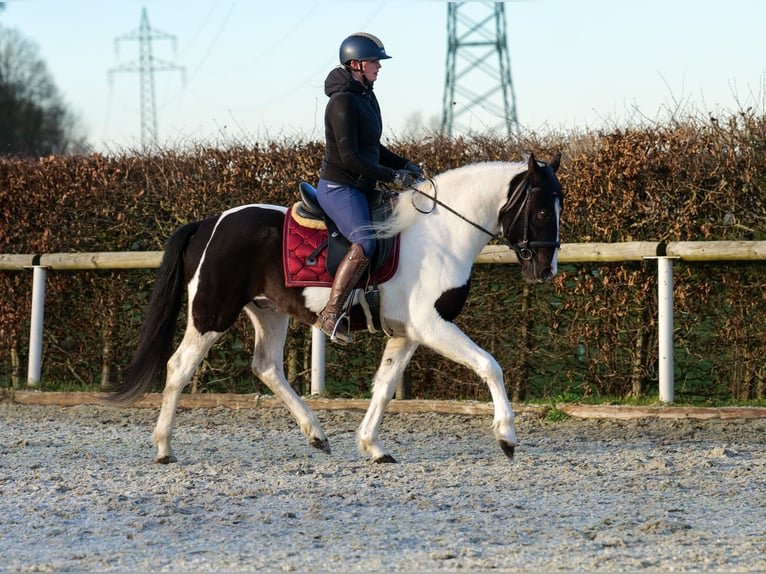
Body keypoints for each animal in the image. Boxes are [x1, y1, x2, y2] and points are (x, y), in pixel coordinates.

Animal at [109, 152, 564, 464]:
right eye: (543, 208)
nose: (546, 269)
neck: (442, 233)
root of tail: (208, 224)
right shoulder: (432, 326)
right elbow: (489, 365)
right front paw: (506, 437)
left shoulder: (408, 333)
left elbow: (384, 385)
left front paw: (372, 446)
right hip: (212, 312)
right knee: (179, 367)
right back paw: (163, 447)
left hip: (268, 311)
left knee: (267, 367)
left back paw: (316, 434)